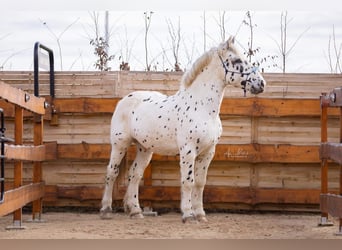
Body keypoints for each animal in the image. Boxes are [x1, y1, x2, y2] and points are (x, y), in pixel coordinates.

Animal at [100, 36, 266, 223]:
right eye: (237, 60)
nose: (261, 84)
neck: (201, 107)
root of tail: (124, 100)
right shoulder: (188, 150)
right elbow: (188, 181)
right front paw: (188, 214)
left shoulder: (208, 152)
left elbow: (200, 183)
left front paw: (200, 214)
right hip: (119, 144)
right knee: (111, 172)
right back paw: (106, 210)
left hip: (145, 148)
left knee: (134, 174)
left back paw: (136, 211)